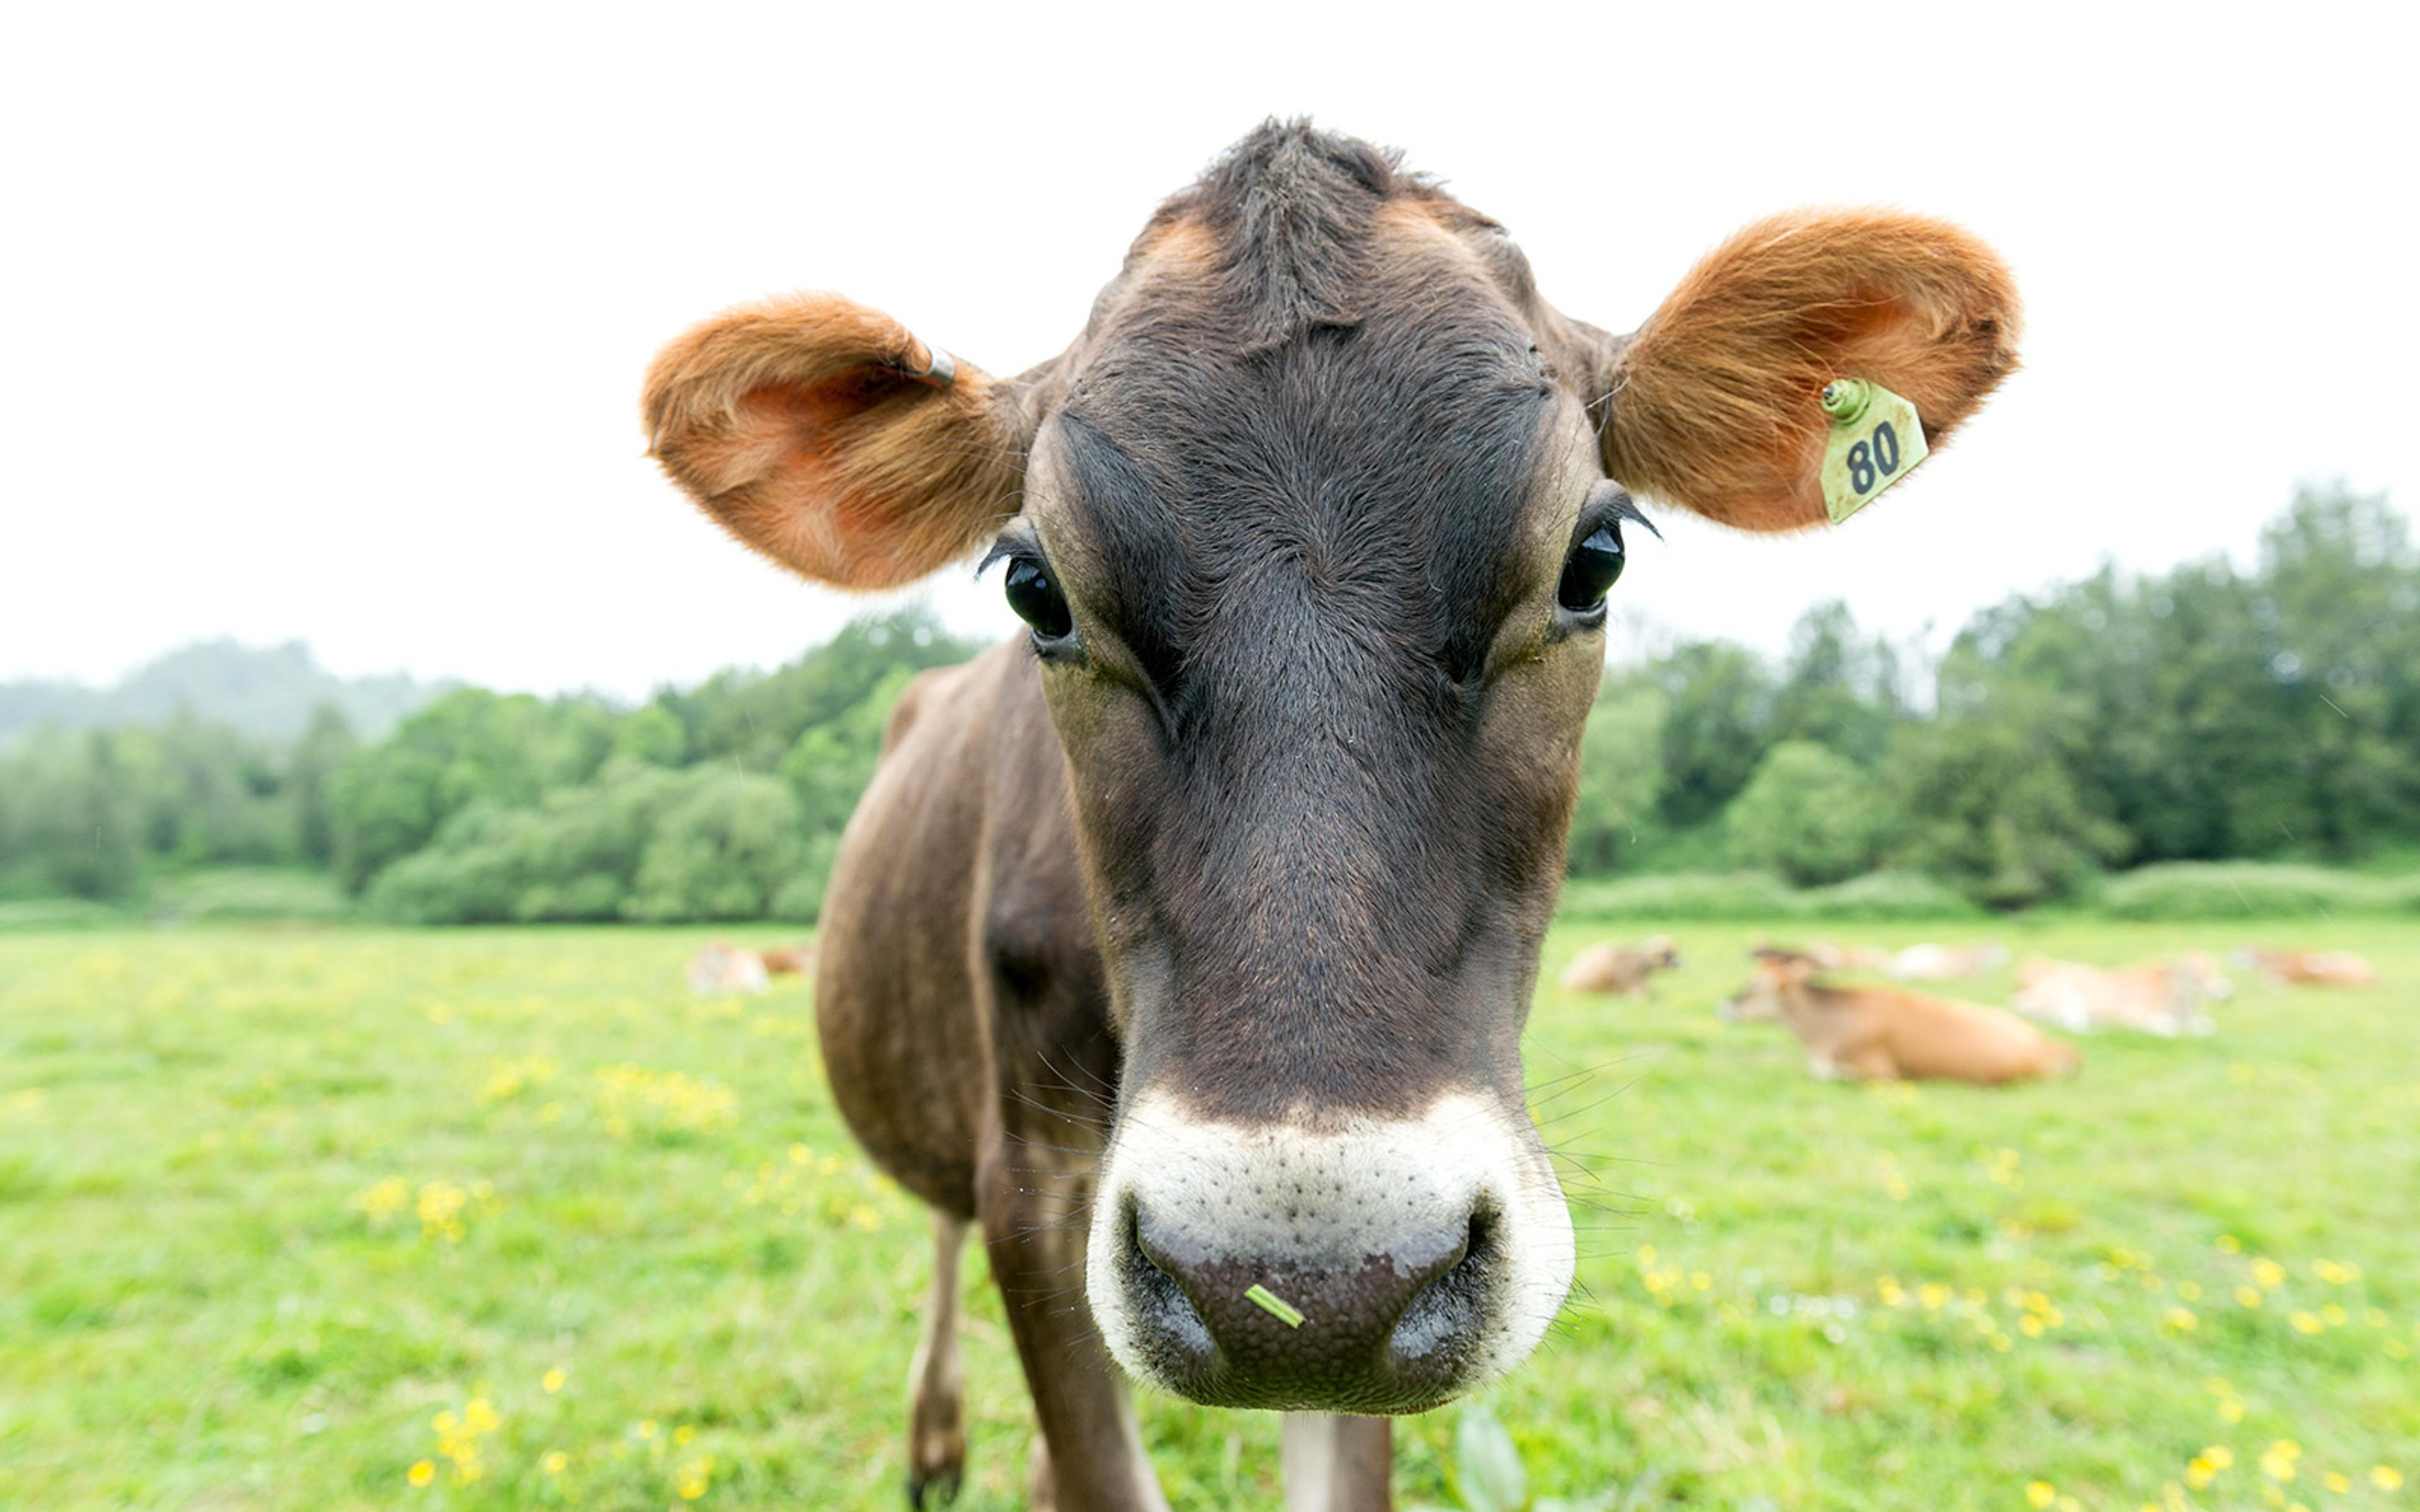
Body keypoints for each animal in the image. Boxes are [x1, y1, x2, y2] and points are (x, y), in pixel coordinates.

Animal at [2011, 954, 2231, 1036]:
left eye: (2218, 970)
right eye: (2198, 976)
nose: (2228, 993)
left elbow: (2208, 1026)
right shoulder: (2138, 1015)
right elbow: (2167, 1027)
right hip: (2068, 998)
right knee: (2074, 1026)